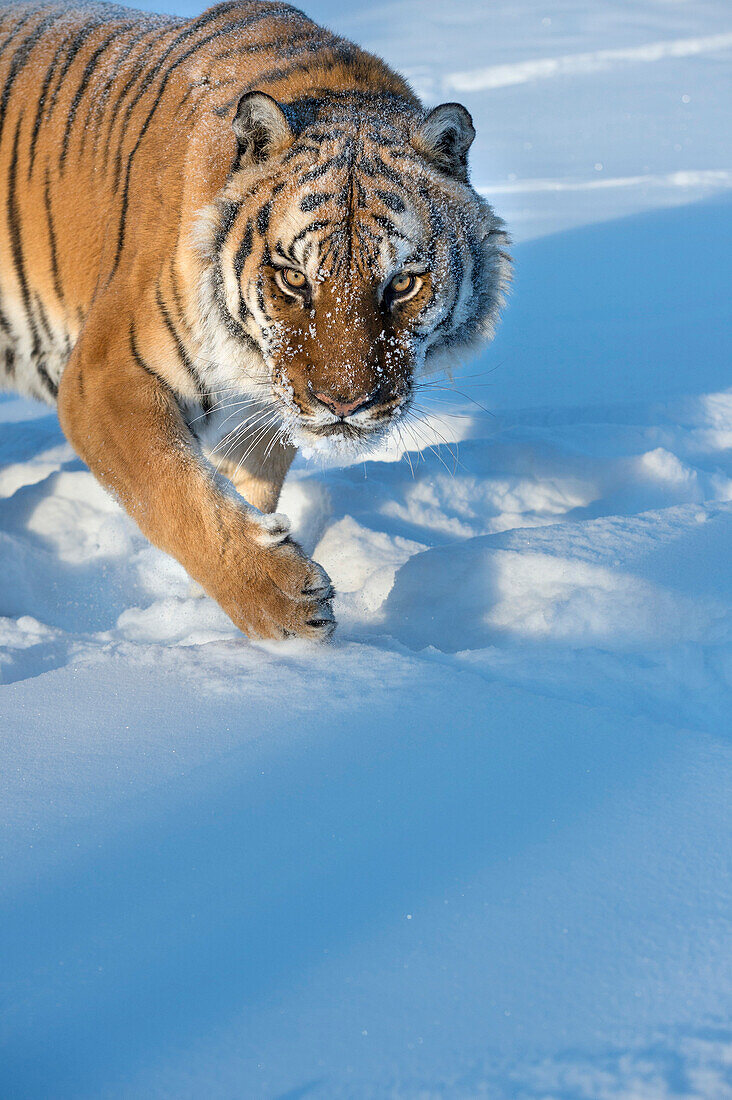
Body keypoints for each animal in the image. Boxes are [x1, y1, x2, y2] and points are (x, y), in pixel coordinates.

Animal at [0, 0, 508, 642]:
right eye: (294, 278)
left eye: (401, 284)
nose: (345, 404)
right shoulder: (104, 378)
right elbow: (175, 490)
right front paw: (284, 604)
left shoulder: (262, 413)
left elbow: (241, 487)